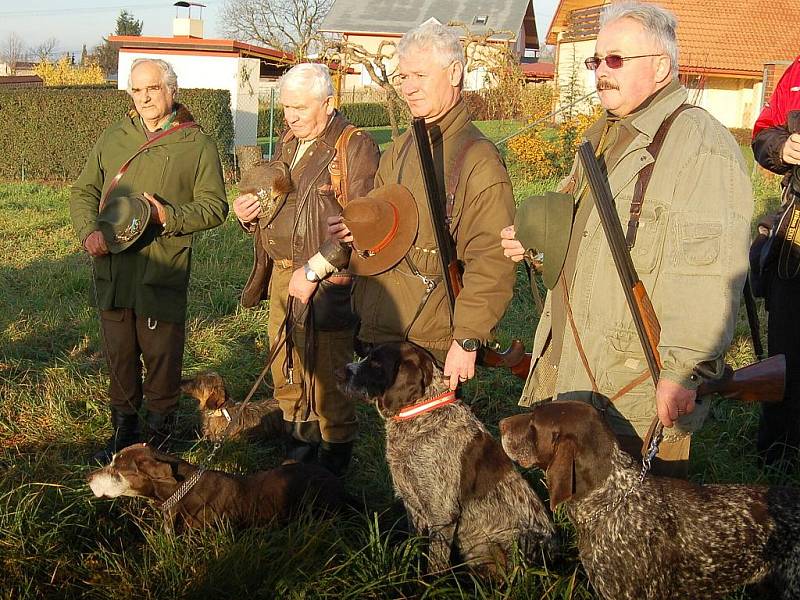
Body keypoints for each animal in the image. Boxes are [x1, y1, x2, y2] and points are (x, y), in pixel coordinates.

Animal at [340, 342, 556, 576]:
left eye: (376, 363)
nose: (340, 372)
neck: (421, 415)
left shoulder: (441, 514)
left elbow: (435, 563)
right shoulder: (413, 507)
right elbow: (414, 546)